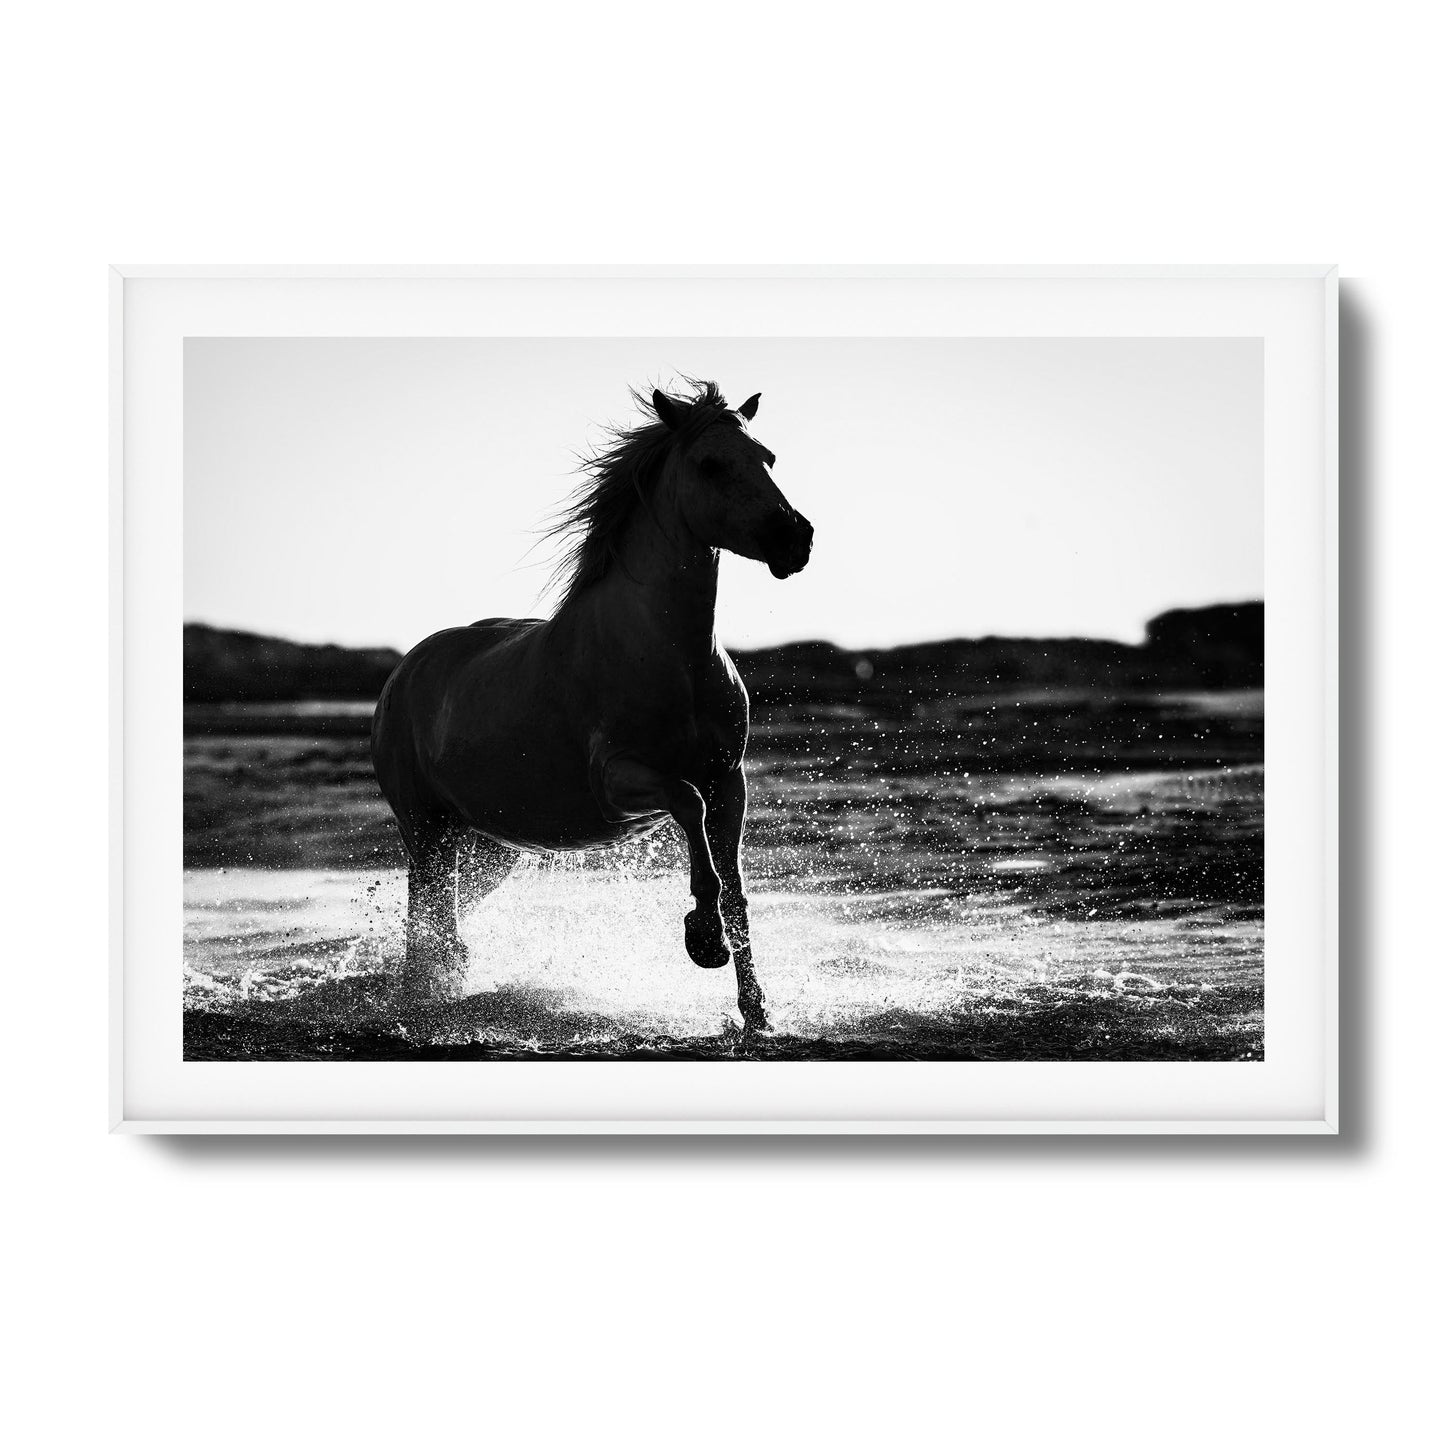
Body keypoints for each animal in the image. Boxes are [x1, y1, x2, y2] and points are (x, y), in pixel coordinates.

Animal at [370, 381, 813, 1034]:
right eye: (710, 463)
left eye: (768, 458)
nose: (794, 539)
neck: (670, 657)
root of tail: (402, 675)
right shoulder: (620, 780)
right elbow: (689, 807)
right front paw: (702, 940)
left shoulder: (729, 781)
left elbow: (735, 888)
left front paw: (757, 1012)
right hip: (426, 830)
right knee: (426, 920)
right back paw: (424, 998)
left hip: (487, 846)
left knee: (442, 919)